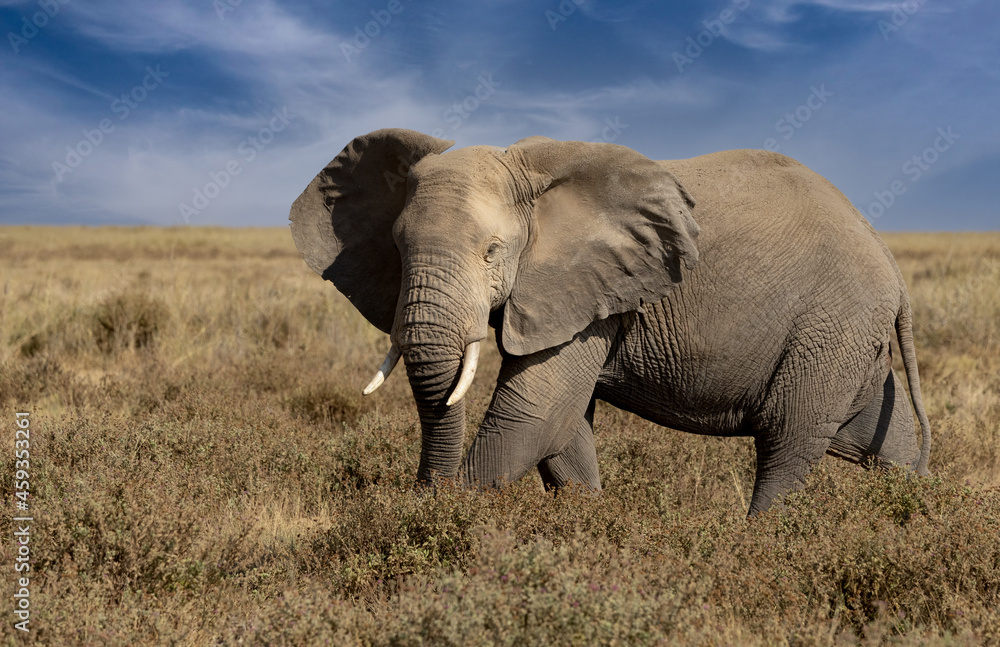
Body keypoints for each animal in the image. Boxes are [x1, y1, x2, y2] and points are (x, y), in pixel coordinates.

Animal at [289, 128, 931, 515]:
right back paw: (920, 518)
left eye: (493, 251)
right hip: (850, 339)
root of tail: (889, 260)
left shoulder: (591, 290)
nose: (426, 492)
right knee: (883, 445)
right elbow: (563, 425)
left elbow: (533, 411)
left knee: (787, 445)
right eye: (397, 249)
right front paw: (583, 528)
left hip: (830, 328)